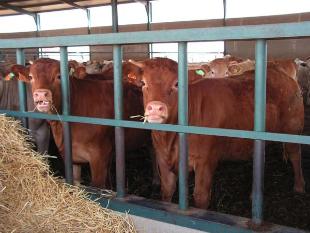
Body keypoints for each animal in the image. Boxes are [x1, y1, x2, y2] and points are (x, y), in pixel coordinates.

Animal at [126, 57, 306, 209]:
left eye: (177, 84)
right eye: (143, 83)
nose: (155, 107)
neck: (170, 139)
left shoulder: (206, 161)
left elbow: (200, 196)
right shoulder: (162, 158)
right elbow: (167, 190)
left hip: (292, 126)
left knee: (295, 154)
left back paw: (299, 186)